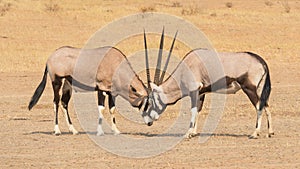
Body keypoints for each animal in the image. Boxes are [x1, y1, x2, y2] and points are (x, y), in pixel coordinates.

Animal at [142, 37, 274, 139]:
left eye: (150, 101)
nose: (148, 122)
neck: (185, 68)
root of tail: (261, 61)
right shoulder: (201, 93)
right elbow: (198, 110)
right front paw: (194, 133)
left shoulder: (194, 90)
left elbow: (193, 110)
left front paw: (188, 133)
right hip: (260, 89)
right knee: (266, 105)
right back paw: (270, 132)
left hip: (249, 89)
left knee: (259, 106)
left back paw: (255, 133)